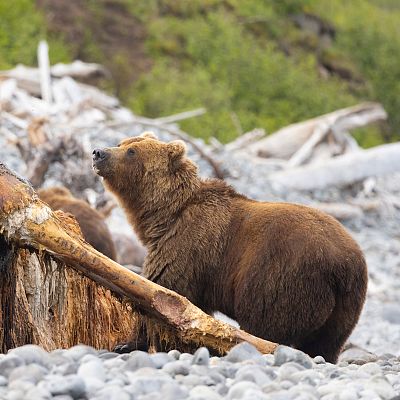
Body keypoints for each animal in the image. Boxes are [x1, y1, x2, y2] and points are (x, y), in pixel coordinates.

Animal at [92, 131, 368, 362]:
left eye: (132, 151)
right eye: (122, 143)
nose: (98, 152)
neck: (165, 216)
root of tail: (342, 264)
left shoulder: (187, 246)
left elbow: (162, 290)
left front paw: (129, 343)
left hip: (282, 276)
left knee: (267, 325)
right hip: (346, 304)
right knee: (327, 343)